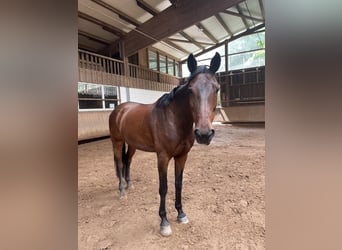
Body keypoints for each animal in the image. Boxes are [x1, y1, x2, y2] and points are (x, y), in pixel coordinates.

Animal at [109, 52, 222, 236]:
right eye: (190, 90)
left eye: (216, 88)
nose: (204, 134)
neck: (173, 119)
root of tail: (119, 109)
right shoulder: (162, 157)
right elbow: (164, 188)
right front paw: (164, 222)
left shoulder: (182, 156)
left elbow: (178, 184)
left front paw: (181, 214)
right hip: (117, 142)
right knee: (119, 163)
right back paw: (122, 191)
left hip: (132, 145)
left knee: (128, 161)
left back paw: (129, 183)